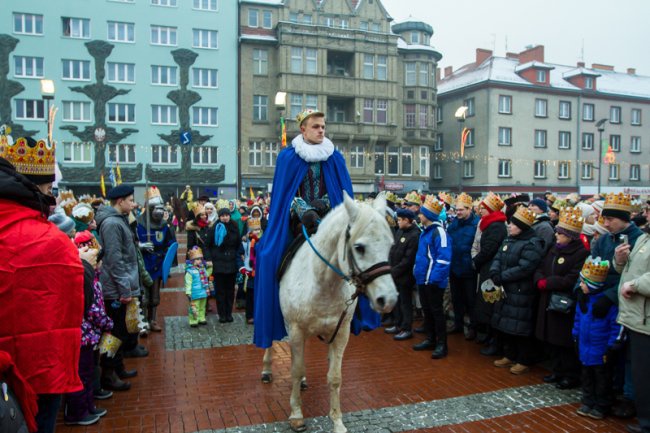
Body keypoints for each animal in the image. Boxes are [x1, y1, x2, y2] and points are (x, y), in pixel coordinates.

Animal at [260, 193, 398, 432]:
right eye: (359, 247)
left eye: (390, 245)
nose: (388, 299)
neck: (322, 282)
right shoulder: (295, 329)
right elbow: (295, 370)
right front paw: (296, 414)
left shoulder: (340, 333)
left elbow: (334, 377)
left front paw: (337, 421)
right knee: (270, 341)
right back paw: (267, 369)